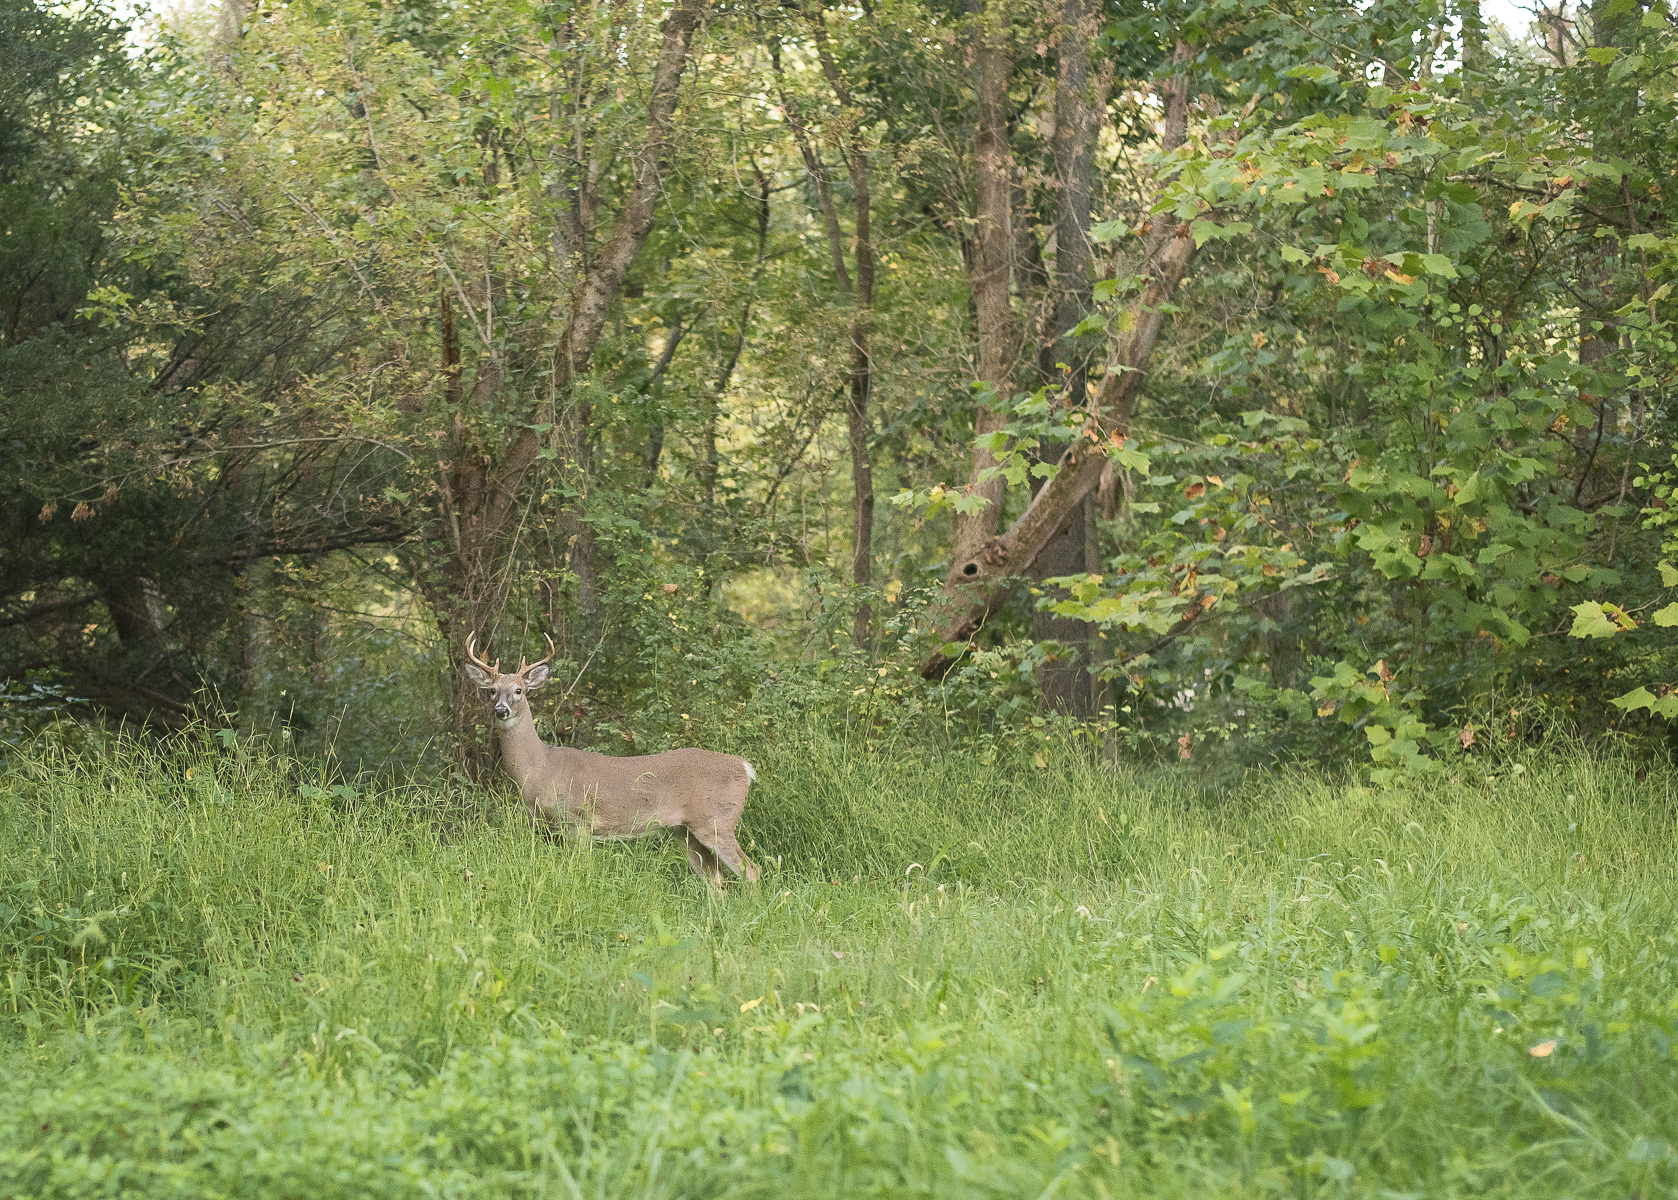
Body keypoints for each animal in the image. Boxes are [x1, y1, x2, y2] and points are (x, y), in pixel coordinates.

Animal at [469, 634, 765, 886]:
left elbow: (579, 870)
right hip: (684, 831)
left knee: (752, 870)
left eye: (519, 690)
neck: (542, 767)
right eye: (492, 690)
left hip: (717, 819)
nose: (501, 710)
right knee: (716, 881)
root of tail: (744, 767)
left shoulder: (579, 820)